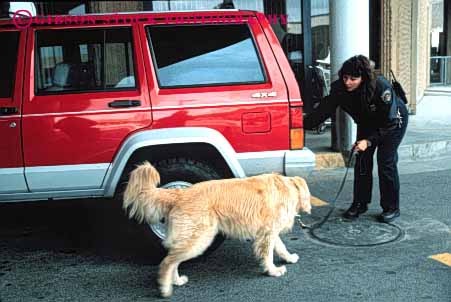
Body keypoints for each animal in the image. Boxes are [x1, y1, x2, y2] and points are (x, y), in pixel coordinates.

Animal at [123, 162, 310, 296]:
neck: (288, 187)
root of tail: (180, 194)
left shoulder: (268, 232)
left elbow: (281, 247)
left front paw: (289, 258)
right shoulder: (268, 233)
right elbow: (269, 254)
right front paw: (273, 271)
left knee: (172, 259)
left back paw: (175, 281)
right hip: (199, 239)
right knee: (168, 261)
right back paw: (165, 288)